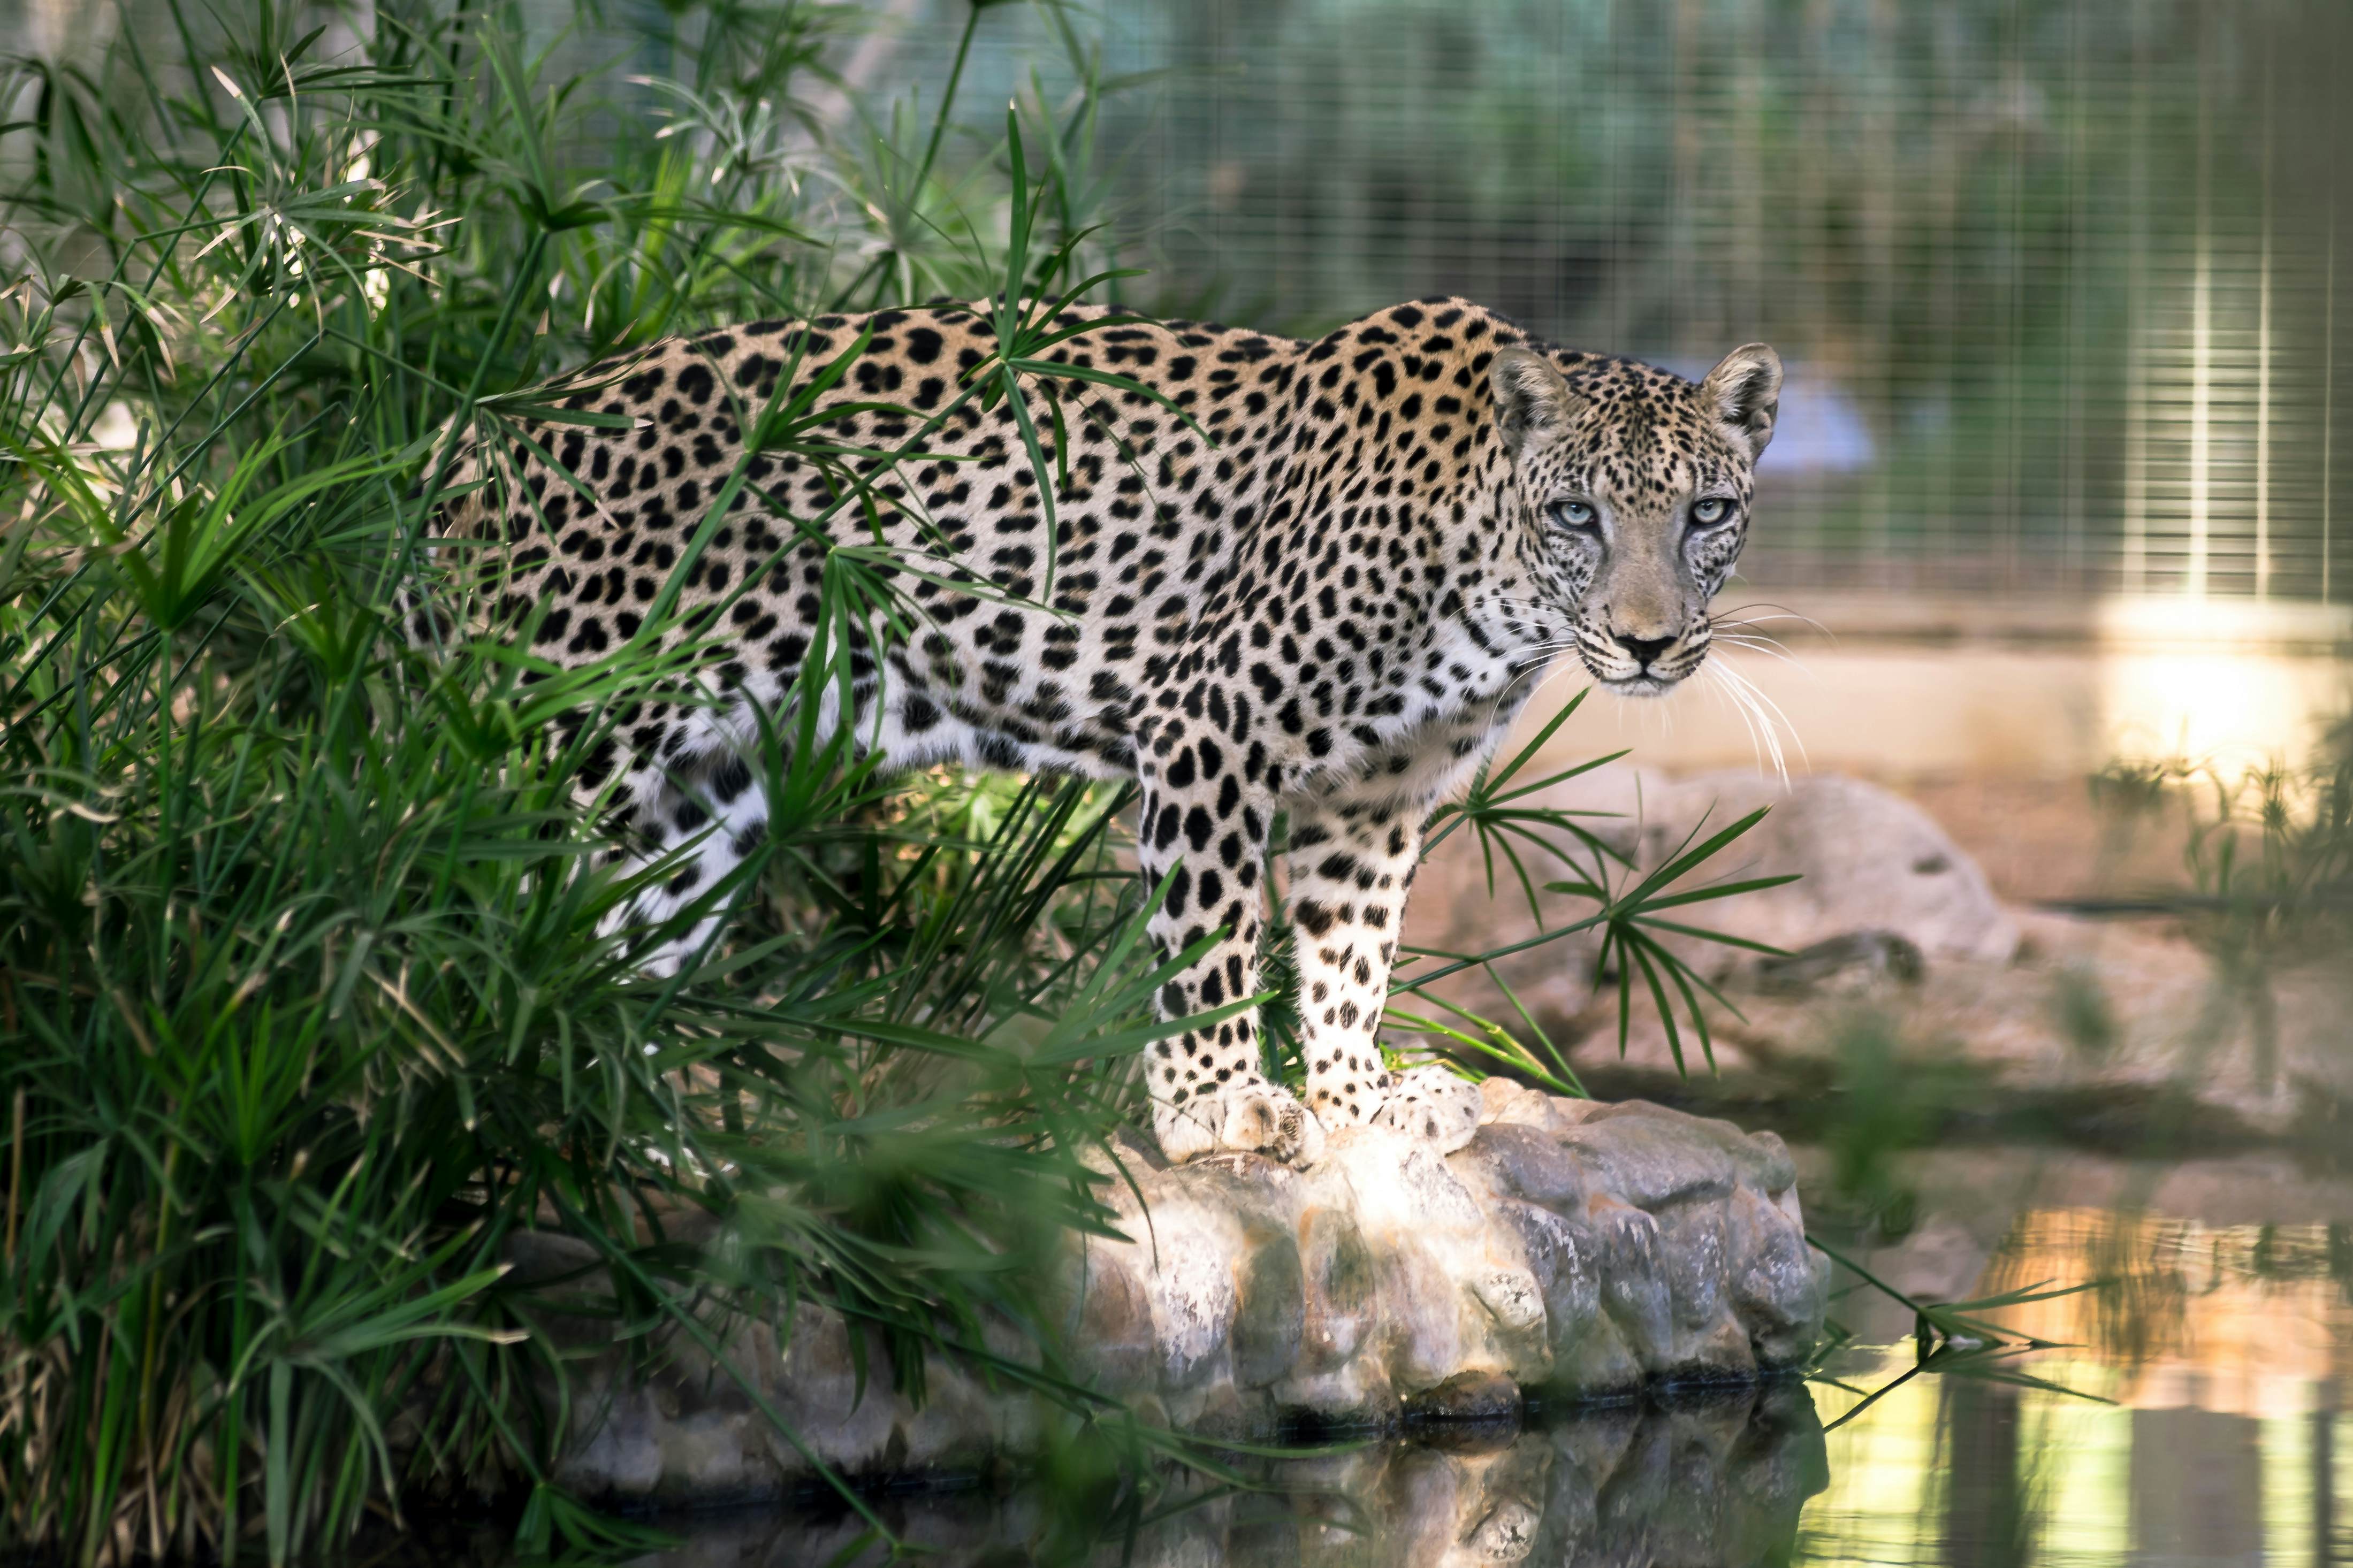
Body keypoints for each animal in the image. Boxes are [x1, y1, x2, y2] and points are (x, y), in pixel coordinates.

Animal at [427, 295, 1781, 1171]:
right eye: (1577, 515)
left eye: (1707, 514)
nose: (1649, 643)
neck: (1491, 578)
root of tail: (467, 434)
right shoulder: (1210, 720)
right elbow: (1211, 936)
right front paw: (1218, 1109)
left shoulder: (1374, 799)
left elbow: (1350, 957)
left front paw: (1358, 1096)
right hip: (552, 741)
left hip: (695, 799)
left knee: (598, 971)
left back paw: (654, 1150)